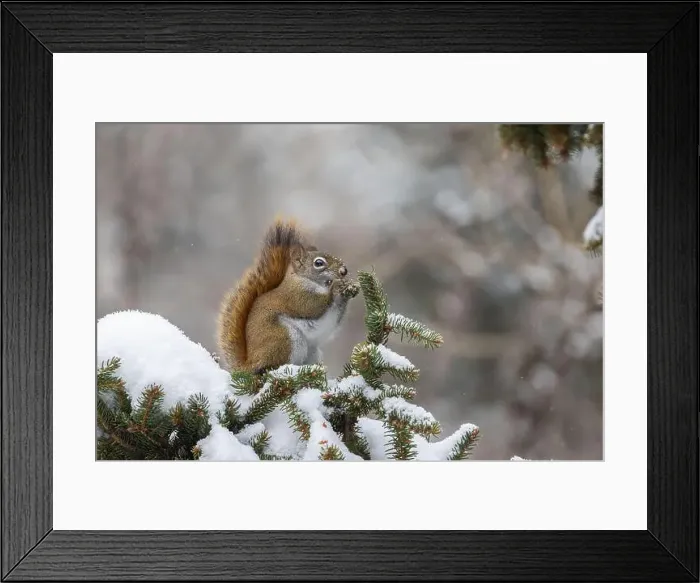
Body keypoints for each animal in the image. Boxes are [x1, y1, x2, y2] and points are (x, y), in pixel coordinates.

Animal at [216, 218, 360, 375]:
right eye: (318, 263)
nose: (344, 271)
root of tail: (250, 364)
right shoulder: (296, 296)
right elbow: (312, 306)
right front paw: (336, 287)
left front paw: (349, 288)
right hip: (284, 339)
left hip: (312, 352)